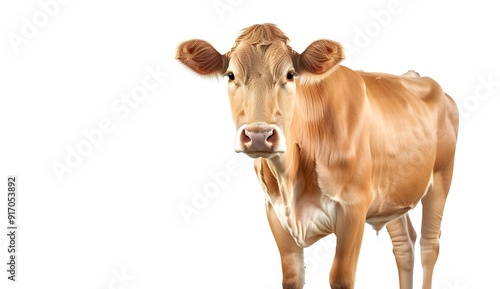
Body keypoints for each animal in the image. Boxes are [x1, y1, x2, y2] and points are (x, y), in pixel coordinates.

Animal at [178, 23, 458, 288]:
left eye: (290, 75)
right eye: (231, 75)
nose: (259, 135)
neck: (292, 178)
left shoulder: (354, 208)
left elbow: (341, 278)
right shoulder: (275, 212)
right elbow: (292, 277)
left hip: (440, 179)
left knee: (429, 245)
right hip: (393, 194)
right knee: (404, 244)